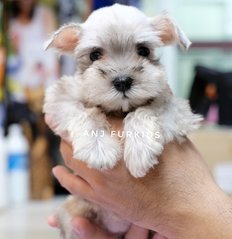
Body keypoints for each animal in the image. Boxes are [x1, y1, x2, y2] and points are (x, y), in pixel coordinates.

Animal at [44, 3, 203, 239]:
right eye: (95, 54)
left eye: (143, 51)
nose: (122, 81)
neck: (119, 110)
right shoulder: (60, 99)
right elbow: (87, 113)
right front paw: (98, 149)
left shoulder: (177, 110)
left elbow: (143, 111)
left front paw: (139, 152)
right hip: (72, 215)